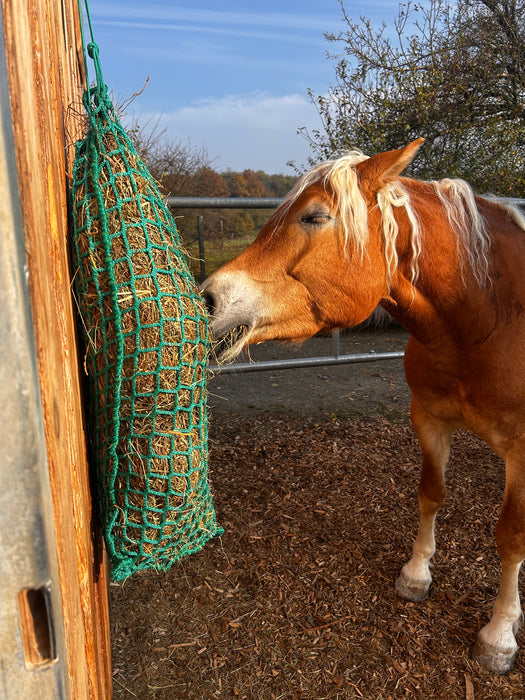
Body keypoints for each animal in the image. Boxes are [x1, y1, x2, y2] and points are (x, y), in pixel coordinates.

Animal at [200, 138, 524, 672]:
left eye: (314, 216)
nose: (208, 299)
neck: (489, 319)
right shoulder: (429, 421)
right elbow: (431, 494)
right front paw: (416, 574)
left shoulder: (521, 454)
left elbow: (511, 536)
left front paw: (499, 635)